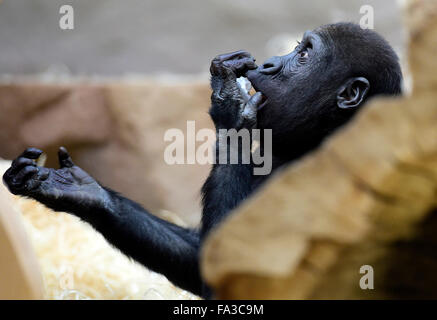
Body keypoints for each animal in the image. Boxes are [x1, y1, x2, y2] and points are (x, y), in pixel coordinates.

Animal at [1, 21, 402, 298]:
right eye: (295, 48)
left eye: (304, 55)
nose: (269, 64)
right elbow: (203, 259)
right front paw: (81, 193)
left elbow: (238, 274)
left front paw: (231, 105)